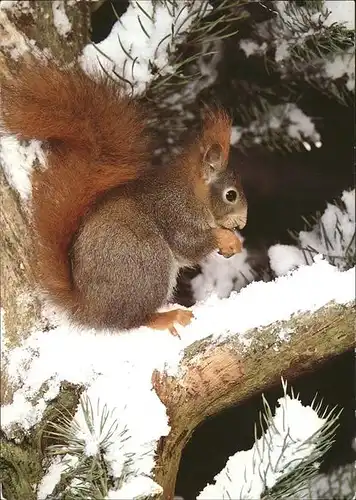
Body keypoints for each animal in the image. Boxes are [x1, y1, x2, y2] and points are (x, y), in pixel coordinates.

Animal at [0, 58, 248, 336]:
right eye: (231, 195)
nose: (243, 223)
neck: (194, 194)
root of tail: (91, 308)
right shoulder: (175, 212)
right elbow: (188, 245)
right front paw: (227, 238)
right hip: (147, 261)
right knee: (131, 321)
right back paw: (166, 317)